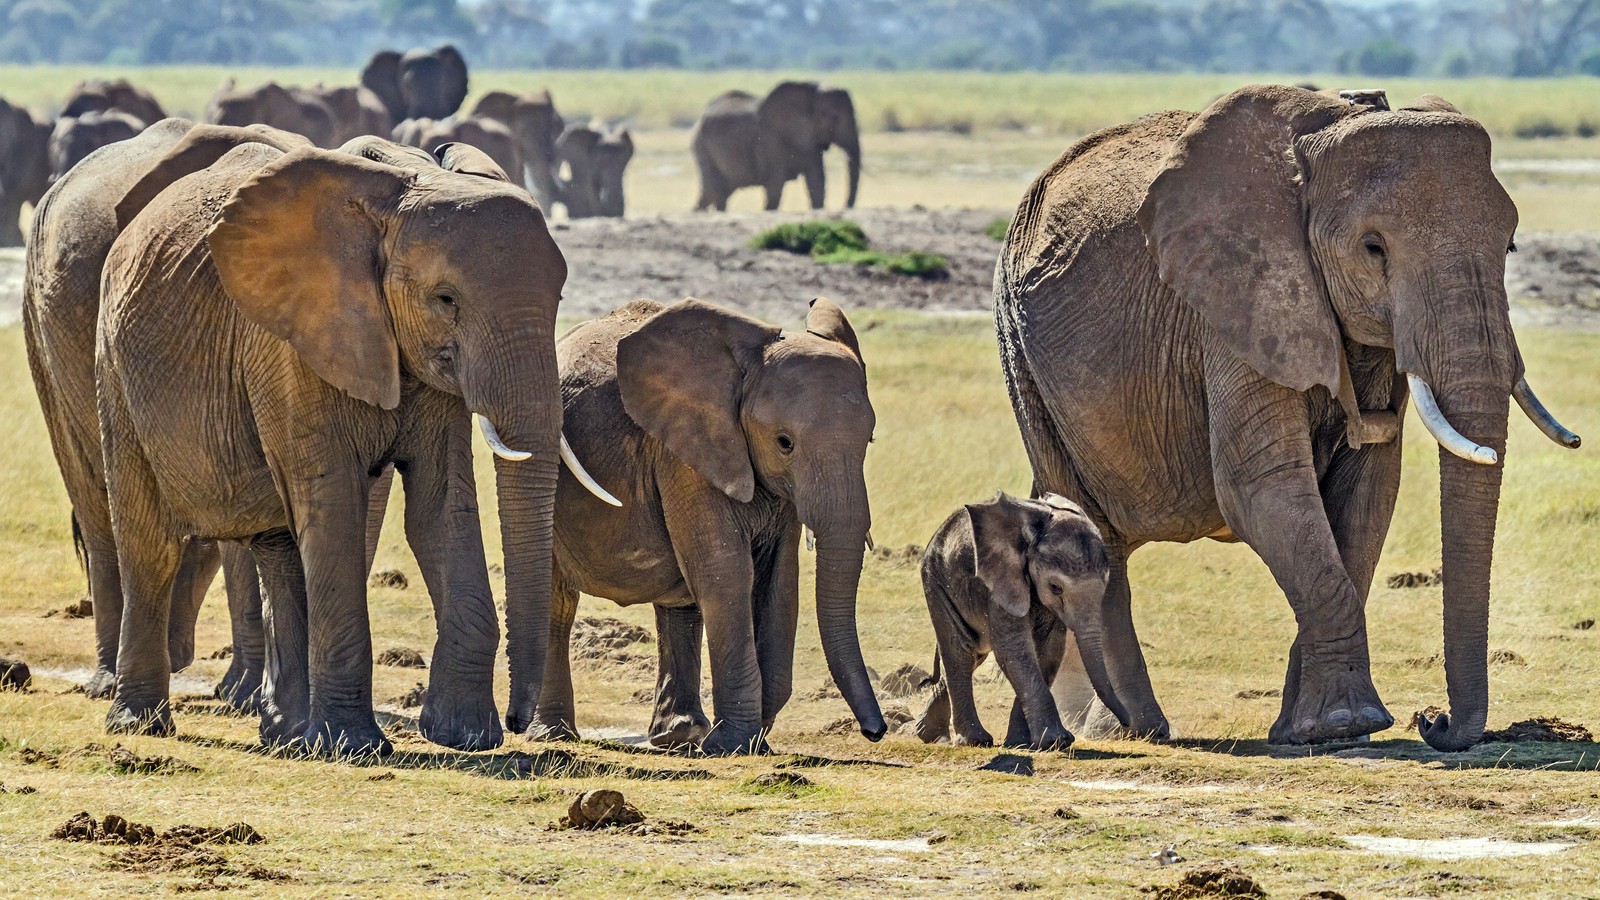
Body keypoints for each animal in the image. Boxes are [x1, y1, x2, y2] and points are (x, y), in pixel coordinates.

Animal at [94, 132, 612, 754]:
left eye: (559, 299)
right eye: (446, 299)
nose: (518, 721)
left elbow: (441, 509)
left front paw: (465, 735)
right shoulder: (291, 345)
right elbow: (335, 502)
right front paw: (354, 746)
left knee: (281, 547)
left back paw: (286, 735)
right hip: (115, 369)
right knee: (150, 542)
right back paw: (140, 723)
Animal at [540, 298, 886, 754]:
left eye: (869, 440)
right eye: (784, 443)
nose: (875, 731)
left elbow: (778, 581)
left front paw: (751, 739)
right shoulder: (685, 453)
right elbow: (725, 573)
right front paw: (733, 744)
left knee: (679, 599)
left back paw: (678, 736)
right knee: (558, 599)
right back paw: (554, 733)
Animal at [691, 81, 860, 212]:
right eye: (834, 117)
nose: (846, 207)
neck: (810, 93)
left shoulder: (810, 142)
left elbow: (817, 181)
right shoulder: (769, 140)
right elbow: (775, 185)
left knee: (716, 194)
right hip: (703, 147)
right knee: (714, 192)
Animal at [913, 492, 1129, 750]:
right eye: (1055, 588)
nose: (1127, 723)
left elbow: (1049, 651)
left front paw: (1022, 743)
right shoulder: (1000, 581)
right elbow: (1013, 649)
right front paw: (1057, 741)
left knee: (973, 654)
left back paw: (928, 734)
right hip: (936, 581)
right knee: (960, 652)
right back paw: (974, 740)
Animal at [993, 84, 1580, 751]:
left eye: (1510, 244)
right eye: (1373, 248)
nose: (1434, 721)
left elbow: (1367, 492)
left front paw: (1310, 732)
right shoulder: (1236, 299)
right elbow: (1263, 488)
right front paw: (1348, 725)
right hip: (1022, 355)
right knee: (1094, 532)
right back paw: (1141, 731)